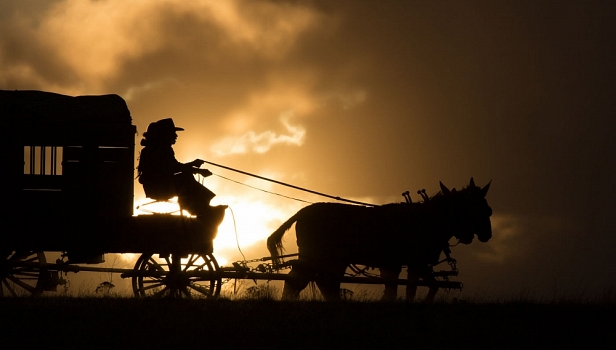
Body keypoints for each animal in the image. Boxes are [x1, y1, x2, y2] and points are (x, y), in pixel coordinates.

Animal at [268, 178, 494, 300]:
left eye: (489, 211)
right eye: (480, 210)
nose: (487, 235)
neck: (429, 219)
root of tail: (302, 212)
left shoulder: (398, 265)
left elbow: (404, 290)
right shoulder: (417, 262)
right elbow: (427, 287)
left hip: (331, 260)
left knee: (322, 282)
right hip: (316, 256)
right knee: (300, 281)